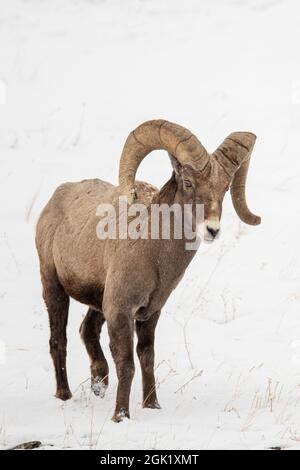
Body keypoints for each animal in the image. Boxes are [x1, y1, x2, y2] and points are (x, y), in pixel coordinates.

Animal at [35, 118, 260, 422]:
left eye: (225, 188)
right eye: (188, 182)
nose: (212, 230)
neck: (153, 253)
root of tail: (57, 197)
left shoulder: (149, 314)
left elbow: (146, 358)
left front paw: (152, 406)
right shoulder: (120, 312)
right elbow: (127, 365)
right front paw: (121, 416)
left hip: (98, 303)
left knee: (87, 331)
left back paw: (99, 385)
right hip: (54, 288)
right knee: (59, 339)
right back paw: (65, 395)